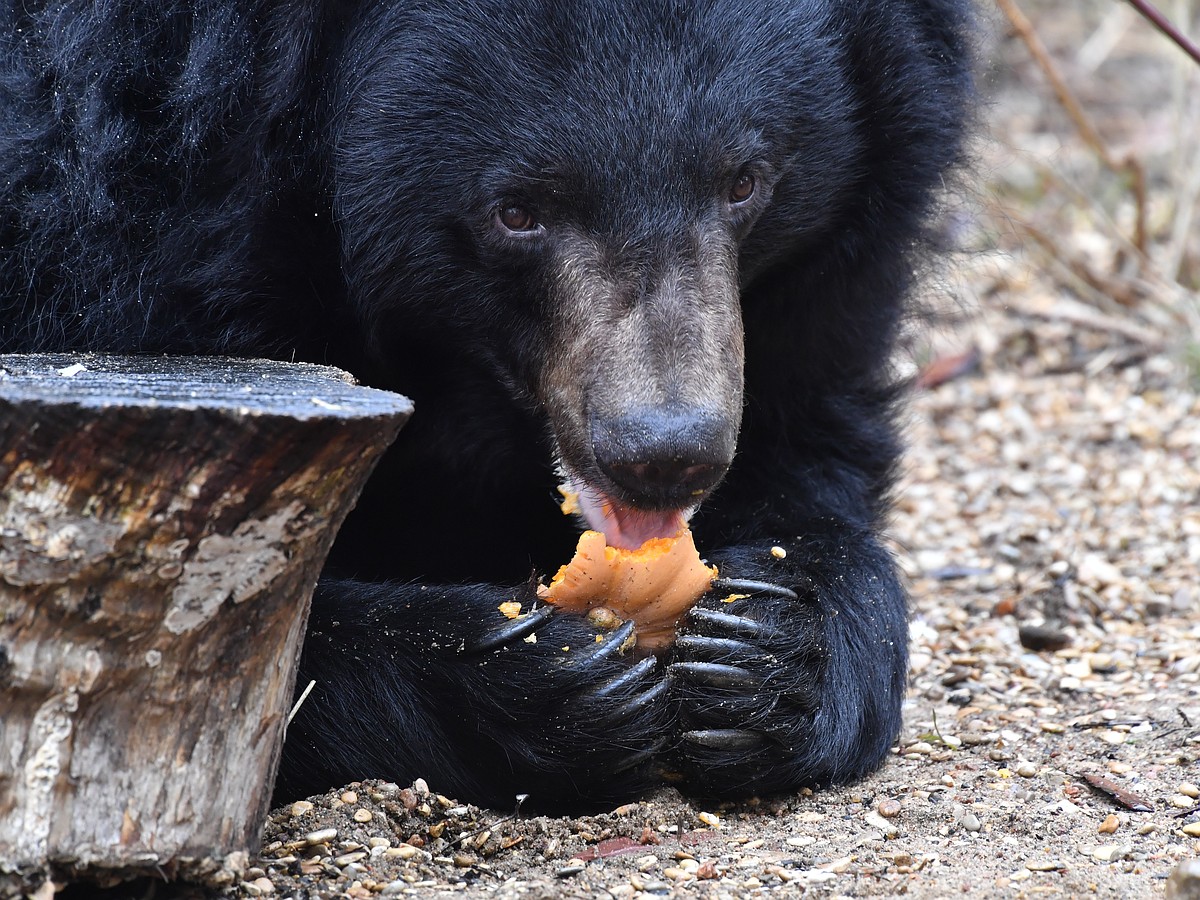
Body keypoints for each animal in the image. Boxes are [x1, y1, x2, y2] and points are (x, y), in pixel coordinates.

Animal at [0, 0, 969, 811]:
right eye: (517, 212)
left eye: (744, 182)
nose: (665, 454)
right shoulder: (119, 263)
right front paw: (550, 682)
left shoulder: (823, 292)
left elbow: (812, 453)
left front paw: (767, 646)